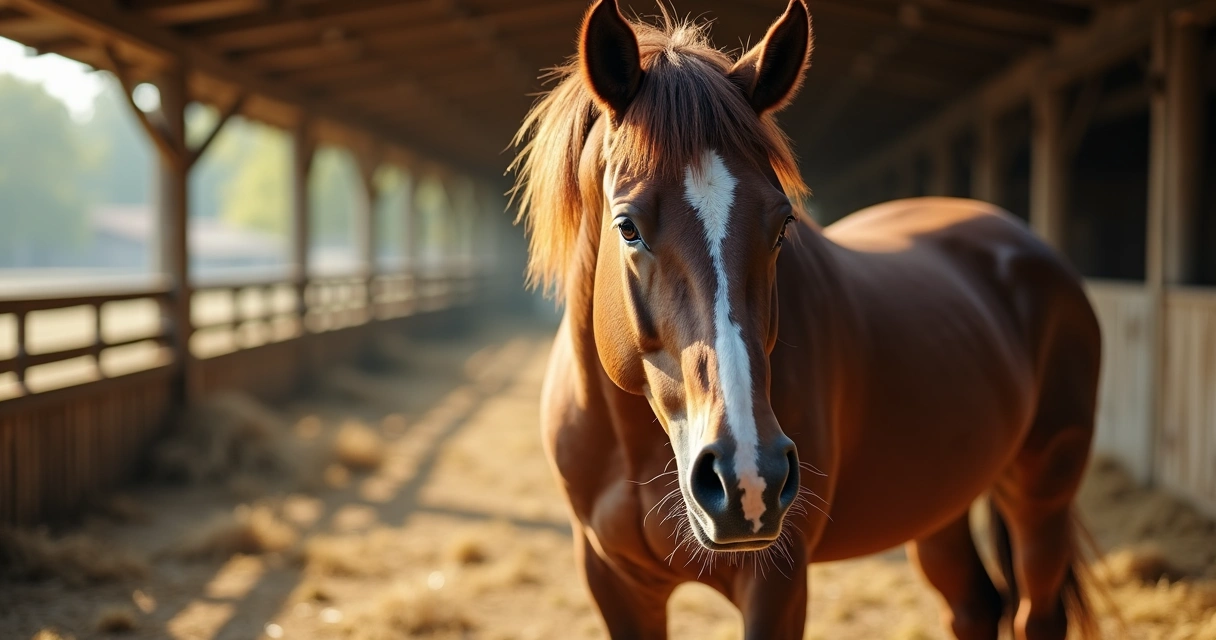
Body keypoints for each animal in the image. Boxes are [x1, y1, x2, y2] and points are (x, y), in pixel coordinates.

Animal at [510, 1, 1103, 638]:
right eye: (628, 227)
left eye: (782, 224)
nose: (747, 478)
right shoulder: (612, 580)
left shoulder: (778, 583)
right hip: (941, 503)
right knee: (975, 604)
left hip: (1041, 496)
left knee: (1036, 611)